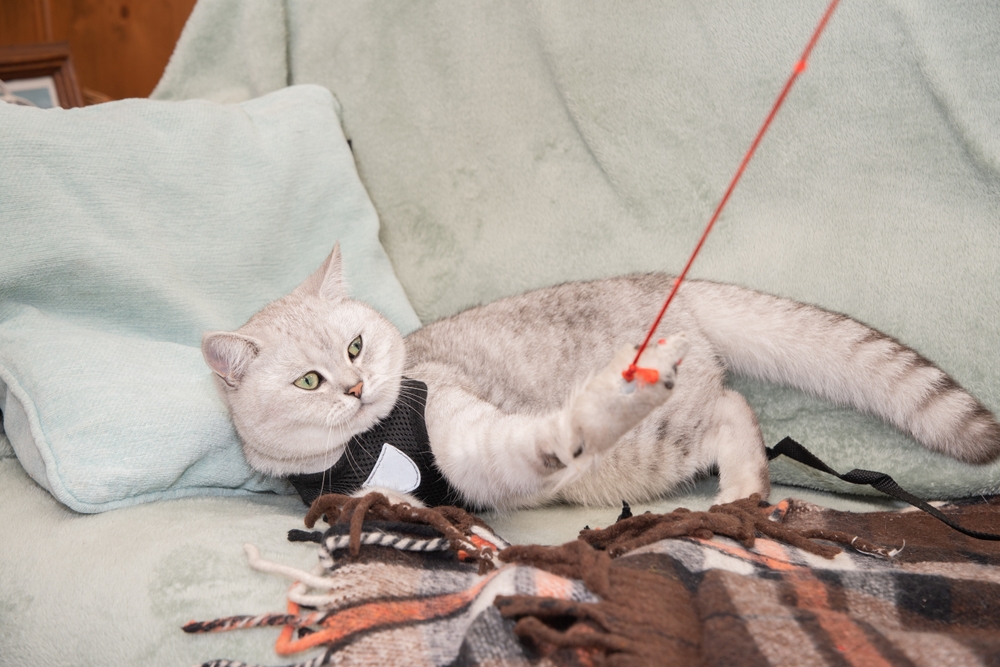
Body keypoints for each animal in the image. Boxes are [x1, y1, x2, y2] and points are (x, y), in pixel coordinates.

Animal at [203, 245, 1000, 512]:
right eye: (309, 381)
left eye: (357, 346)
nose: (355, 387)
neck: (371, 443)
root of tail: (668, 282)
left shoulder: (469, 434)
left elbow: (531, 439)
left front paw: (588, 412)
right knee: (732, 408)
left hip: (653, 440)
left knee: (733, 407)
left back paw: (740, 490)